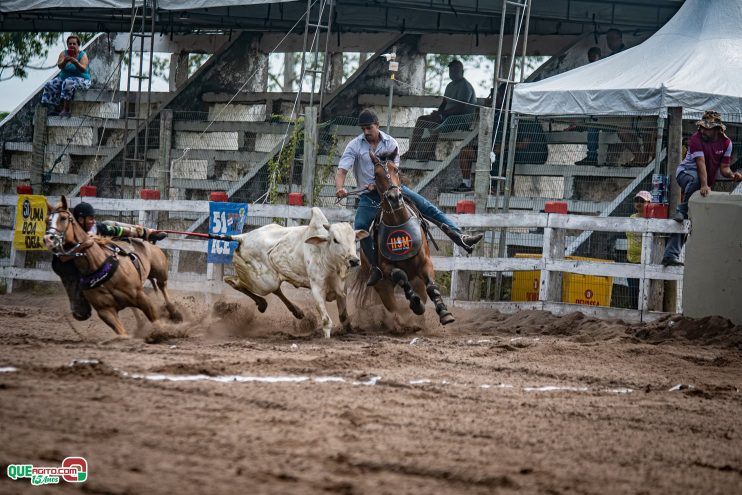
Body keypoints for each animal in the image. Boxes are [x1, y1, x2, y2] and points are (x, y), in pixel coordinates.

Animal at [44, 196, 182, 336]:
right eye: (47, 220)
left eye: (63, 218)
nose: (48, 239)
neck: (98, 267)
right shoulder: (106, 312)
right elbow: (123, 334)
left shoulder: (141, 297)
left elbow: (156, 322)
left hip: (159, 271)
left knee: (162, 286)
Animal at [225, 207, 368, 340]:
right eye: (335, 240)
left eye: (355, 240)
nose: (354, 260)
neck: (327, 257)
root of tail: (244, 237)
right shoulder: (317, 289)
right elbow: (326, 320)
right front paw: (327, 338)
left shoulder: (341, 288)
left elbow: (343, 316)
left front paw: (350, 331)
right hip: (264, 283)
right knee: (233, 281)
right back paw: (262, 304)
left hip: (269, 279)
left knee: (274, 289)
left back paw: (296, 311)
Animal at [356, 148, 456, 326]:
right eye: (376, 174)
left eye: (396, 169)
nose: (395, 197)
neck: (398, 222)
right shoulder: (387, 268)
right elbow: (400, 275)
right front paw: (415, 304)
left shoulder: (425, 263)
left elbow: (432, 287)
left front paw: (444, 313)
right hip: (381, 287)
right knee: (392, 306)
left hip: (416, 282)